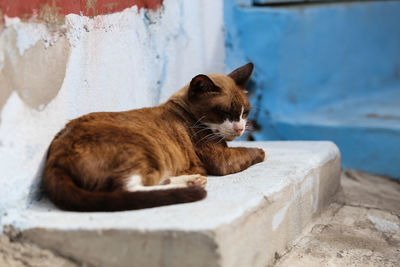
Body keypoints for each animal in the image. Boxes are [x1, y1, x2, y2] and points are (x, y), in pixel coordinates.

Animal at [42, 62, 266, 211]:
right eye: (224, 112)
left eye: (245, 113)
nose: (240, 128)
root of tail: (56, 155)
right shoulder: (221, 159)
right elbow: (256, 152)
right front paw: (261, 150)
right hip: (145, 147)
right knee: (127, 188)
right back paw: (192, 185)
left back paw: (193, 180)